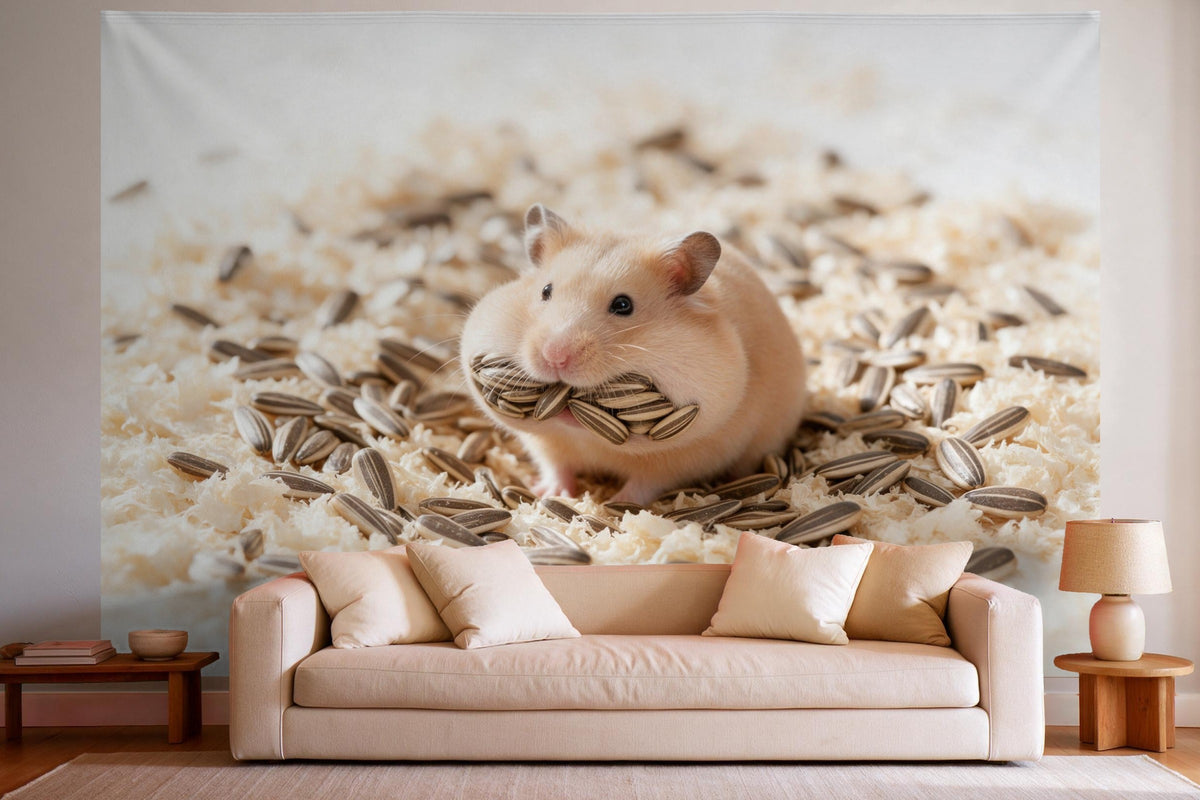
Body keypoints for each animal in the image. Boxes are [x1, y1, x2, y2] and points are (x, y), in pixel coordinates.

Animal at [459, 204, 806, 507]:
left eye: (623, 305)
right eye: (546, 291)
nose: (555, 357)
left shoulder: (689, 437)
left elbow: (645, 472)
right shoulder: (547, 443)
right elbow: (555, 460)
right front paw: (547, 491)